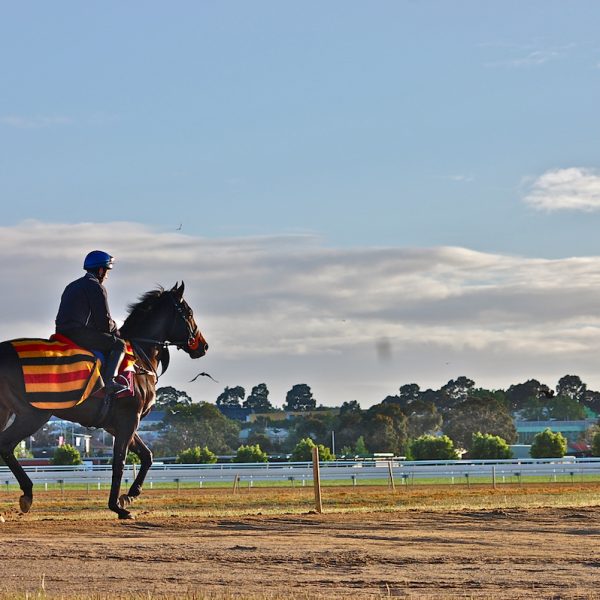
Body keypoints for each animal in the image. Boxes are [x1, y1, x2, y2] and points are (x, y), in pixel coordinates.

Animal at [0, 282, 209, 520]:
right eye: (189, 313)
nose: (203, 346)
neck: (138, 359)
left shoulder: (115, 424)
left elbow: (147, 456)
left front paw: (130, 494)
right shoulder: (129, 419)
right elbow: (120, 461)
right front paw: (118, 506)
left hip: (8, 412)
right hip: (33, 414)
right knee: (6, 445)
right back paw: (27, 493)